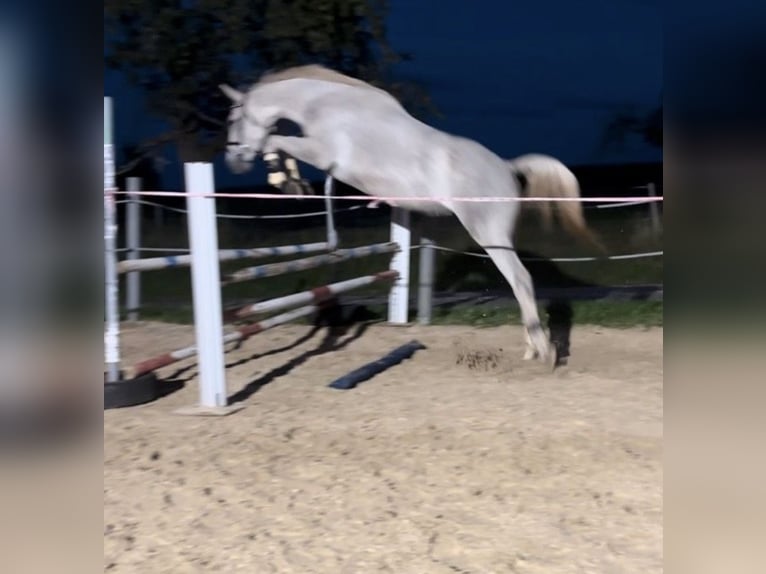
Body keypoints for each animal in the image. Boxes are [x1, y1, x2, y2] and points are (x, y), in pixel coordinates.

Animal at [220, 65, 603, 366]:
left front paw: (283, 178)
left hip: (489, 236)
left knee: (521, 280)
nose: (232, 163)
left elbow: (276, 142)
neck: (327, 104)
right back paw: (531, 349)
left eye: (232, 118)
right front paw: (292, 182)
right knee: (520, 284)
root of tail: (507, 168)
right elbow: (280, 144)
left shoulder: (322, 153)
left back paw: (543, 351)